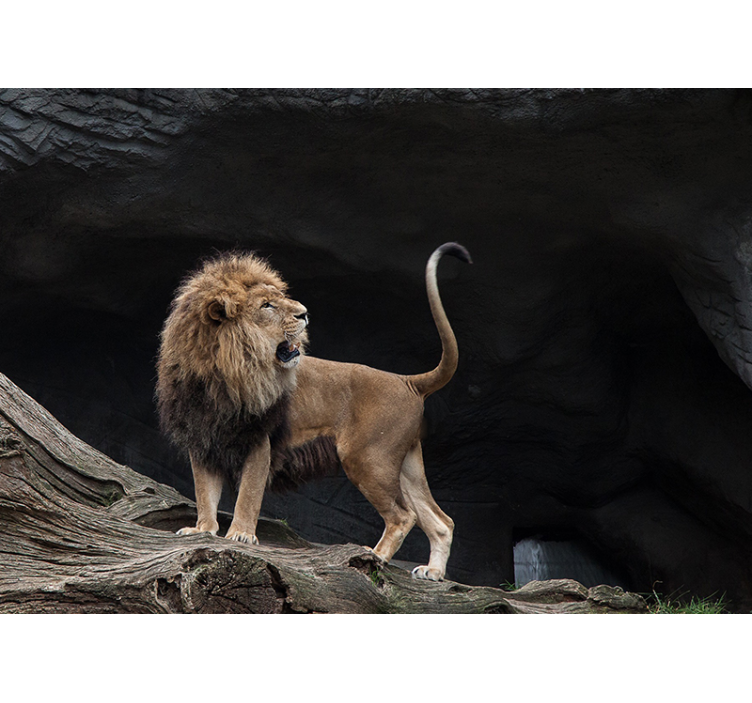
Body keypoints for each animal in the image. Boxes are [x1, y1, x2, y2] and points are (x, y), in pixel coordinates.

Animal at [156, 242, 471, 581]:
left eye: (277, 299)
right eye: (267, 305)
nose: (304, 313)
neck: (220, 374)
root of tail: (407, 380)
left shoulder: (260, 441)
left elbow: (249, 493)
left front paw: (241, 534)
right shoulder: (203, 440)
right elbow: (204, 492)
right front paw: (203, 529)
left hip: (367, 458)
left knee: (403, 516)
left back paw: (375, 557)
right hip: (404, 463)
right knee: (441, 521)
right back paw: (433, 572)